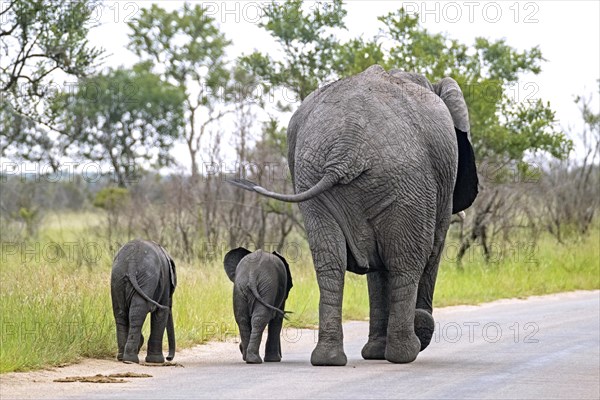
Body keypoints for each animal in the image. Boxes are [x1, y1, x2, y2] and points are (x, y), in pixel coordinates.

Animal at [230, 65, 478, 366]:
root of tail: (347, 146)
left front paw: (375, 353)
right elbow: (430, 250)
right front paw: (412, 334)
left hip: (314, 176)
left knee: (330, 260)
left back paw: (328, 359)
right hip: (408, 180)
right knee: (407, 260)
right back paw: (404, 353)